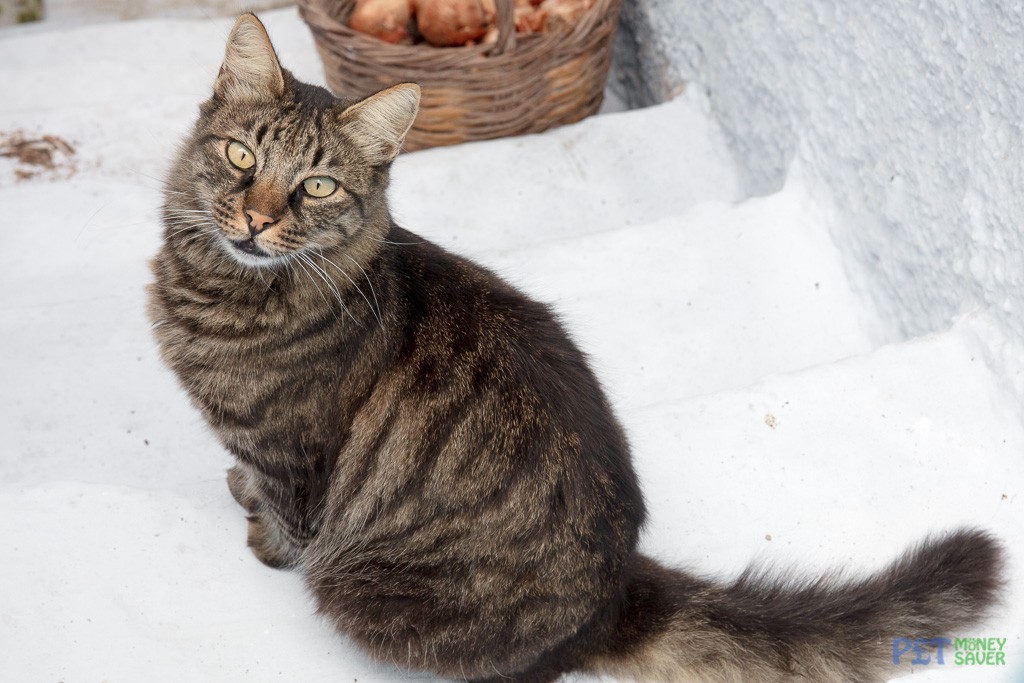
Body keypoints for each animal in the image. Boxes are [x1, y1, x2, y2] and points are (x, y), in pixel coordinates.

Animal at [148, 12, 1003, 683]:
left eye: (318, 186)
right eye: (242, 157)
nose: (256, 219)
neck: (222, 289)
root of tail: (618, 588)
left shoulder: (295, 455)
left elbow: (287, 518)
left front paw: (263, 541)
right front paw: (239, 490)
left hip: (361, 591)